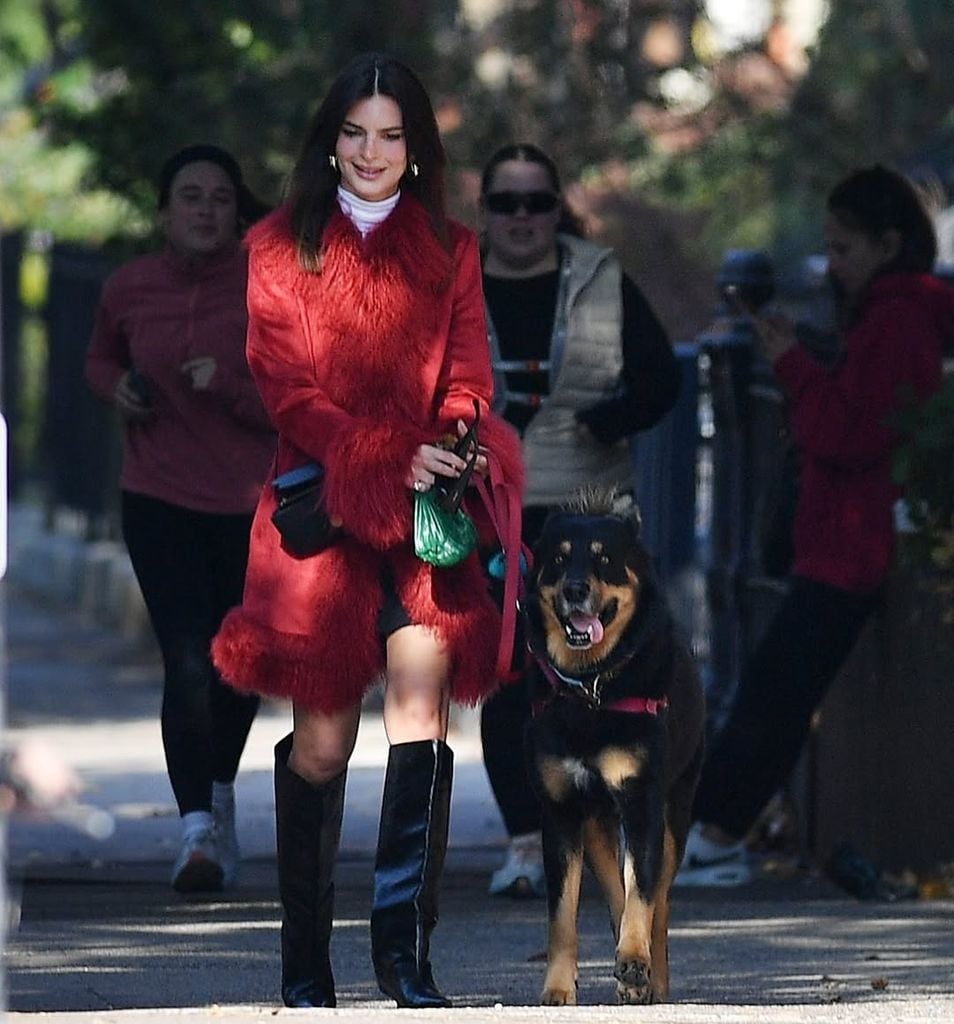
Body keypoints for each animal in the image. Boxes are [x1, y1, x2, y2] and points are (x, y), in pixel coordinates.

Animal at [517, 495, 704, 1007]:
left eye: (604, 559)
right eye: (558, 559)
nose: (576, 588)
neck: (591, 689)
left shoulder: (643, 804)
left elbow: (644, 895)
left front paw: (638, 962)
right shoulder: (560, 812)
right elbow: (563, 915)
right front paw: (558, 987)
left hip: (675, 811)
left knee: (658, 898)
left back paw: (649, 975)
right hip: (596, 824)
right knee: (617, 886)